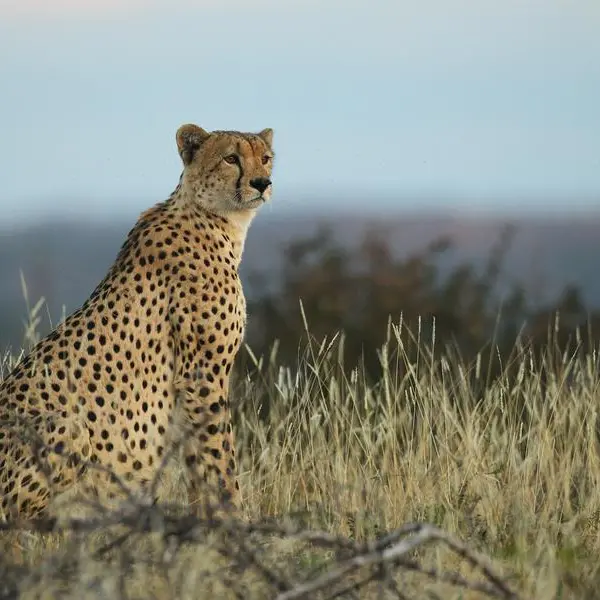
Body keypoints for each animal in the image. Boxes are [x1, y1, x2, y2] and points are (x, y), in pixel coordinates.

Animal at [0, 123, 276, 520]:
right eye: (230, 158)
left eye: (265, 158)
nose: (262, 182)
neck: (216, 219)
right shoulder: (202, 375)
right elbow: (220, 457)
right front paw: (236, 519)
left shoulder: (189, 385)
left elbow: (198, 461)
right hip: (68, 426)